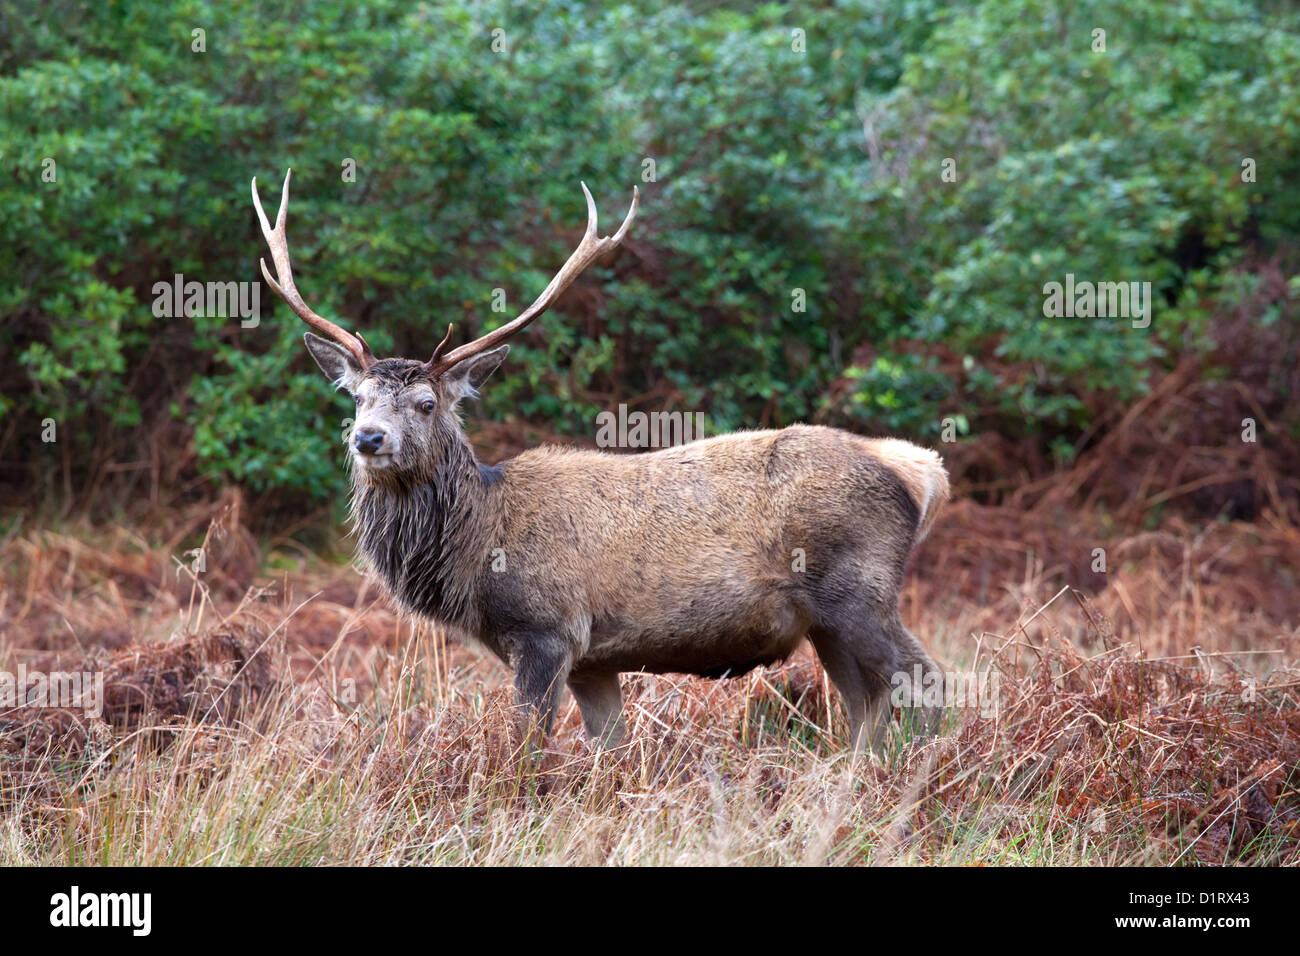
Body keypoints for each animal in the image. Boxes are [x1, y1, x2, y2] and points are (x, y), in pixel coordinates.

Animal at [251, 169, 949, 755]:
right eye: (358, 397)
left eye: (426, 403)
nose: (368, 439)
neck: (476, 544)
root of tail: (919, 469)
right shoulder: (596, 659)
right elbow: (607, 747)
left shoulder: (547, 629)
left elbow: (528, 744)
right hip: (827, 621)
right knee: (867, 703)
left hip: (858, 590)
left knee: (927, 680)